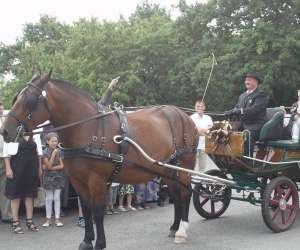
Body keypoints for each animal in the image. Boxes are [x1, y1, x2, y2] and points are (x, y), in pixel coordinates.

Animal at [1, 73, 198, 250]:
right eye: (16, 98)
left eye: (30, 100)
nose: (5, 131)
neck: (87, 128)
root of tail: (183, 115)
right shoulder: (78, 180)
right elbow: (87, 210)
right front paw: (87, 241)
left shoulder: (97, 180)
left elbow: (97, 213)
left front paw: (100, 243)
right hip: (167, 169)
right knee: (176, 194)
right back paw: (174, 227)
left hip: (185, 165)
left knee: (186, 192)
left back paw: (182, 230)